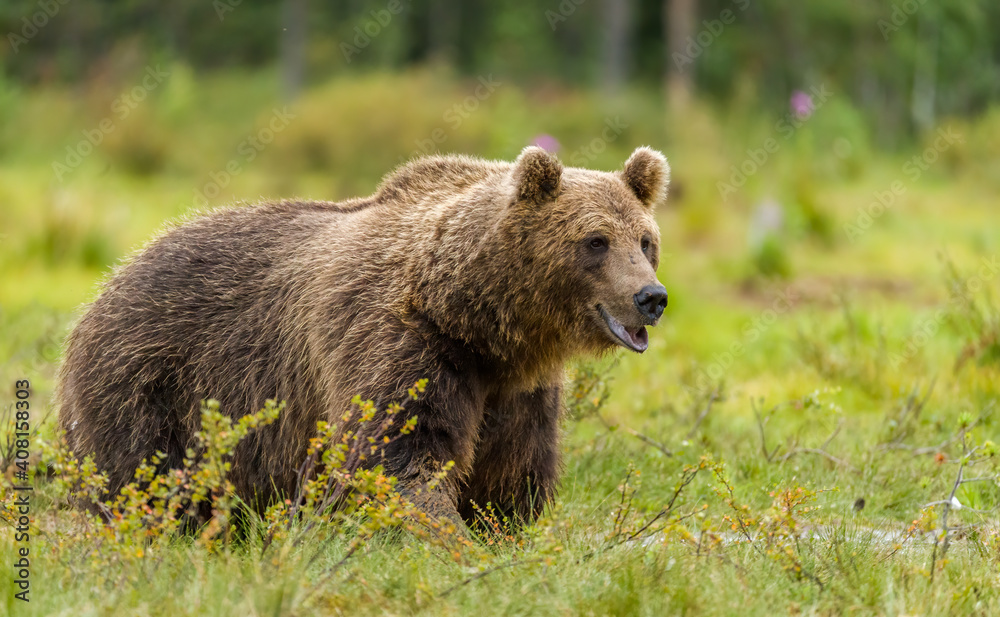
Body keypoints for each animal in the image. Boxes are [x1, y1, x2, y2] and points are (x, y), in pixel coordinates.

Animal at [60, 144, 672, 524]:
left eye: (645, 240)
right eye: (595, 241)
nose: (652, 297)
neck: (475, 319)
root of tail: (110, 279)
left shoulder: (515, 388)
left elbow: (509, 472)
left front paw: (497, 530)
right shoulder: (395, 339)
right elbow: (398, 455)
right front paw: (446, 539)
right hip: (154, 377)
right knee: (140, 471)